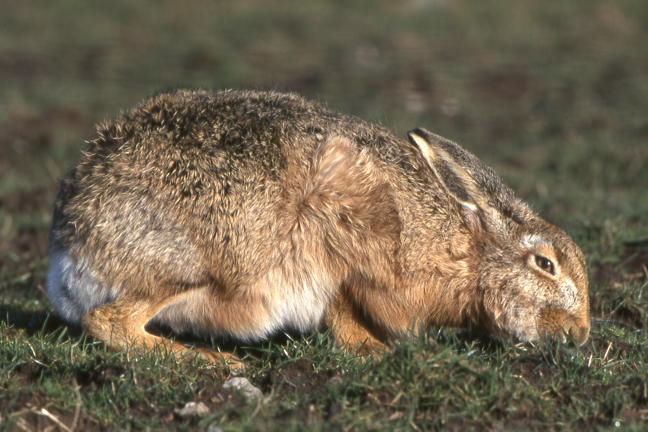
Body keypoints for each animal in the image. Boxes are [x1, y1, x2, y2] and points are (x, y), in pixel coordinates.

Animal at [47, 89, 591, 368]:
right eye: (545, 263)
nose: (582, 333)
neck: (471, 255)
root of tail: (69, 241)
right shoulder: (342, 243)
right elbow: (343, 307)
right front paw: (375, 350)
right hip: (204, 265)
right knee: (109, 321)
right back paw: (212, 361)